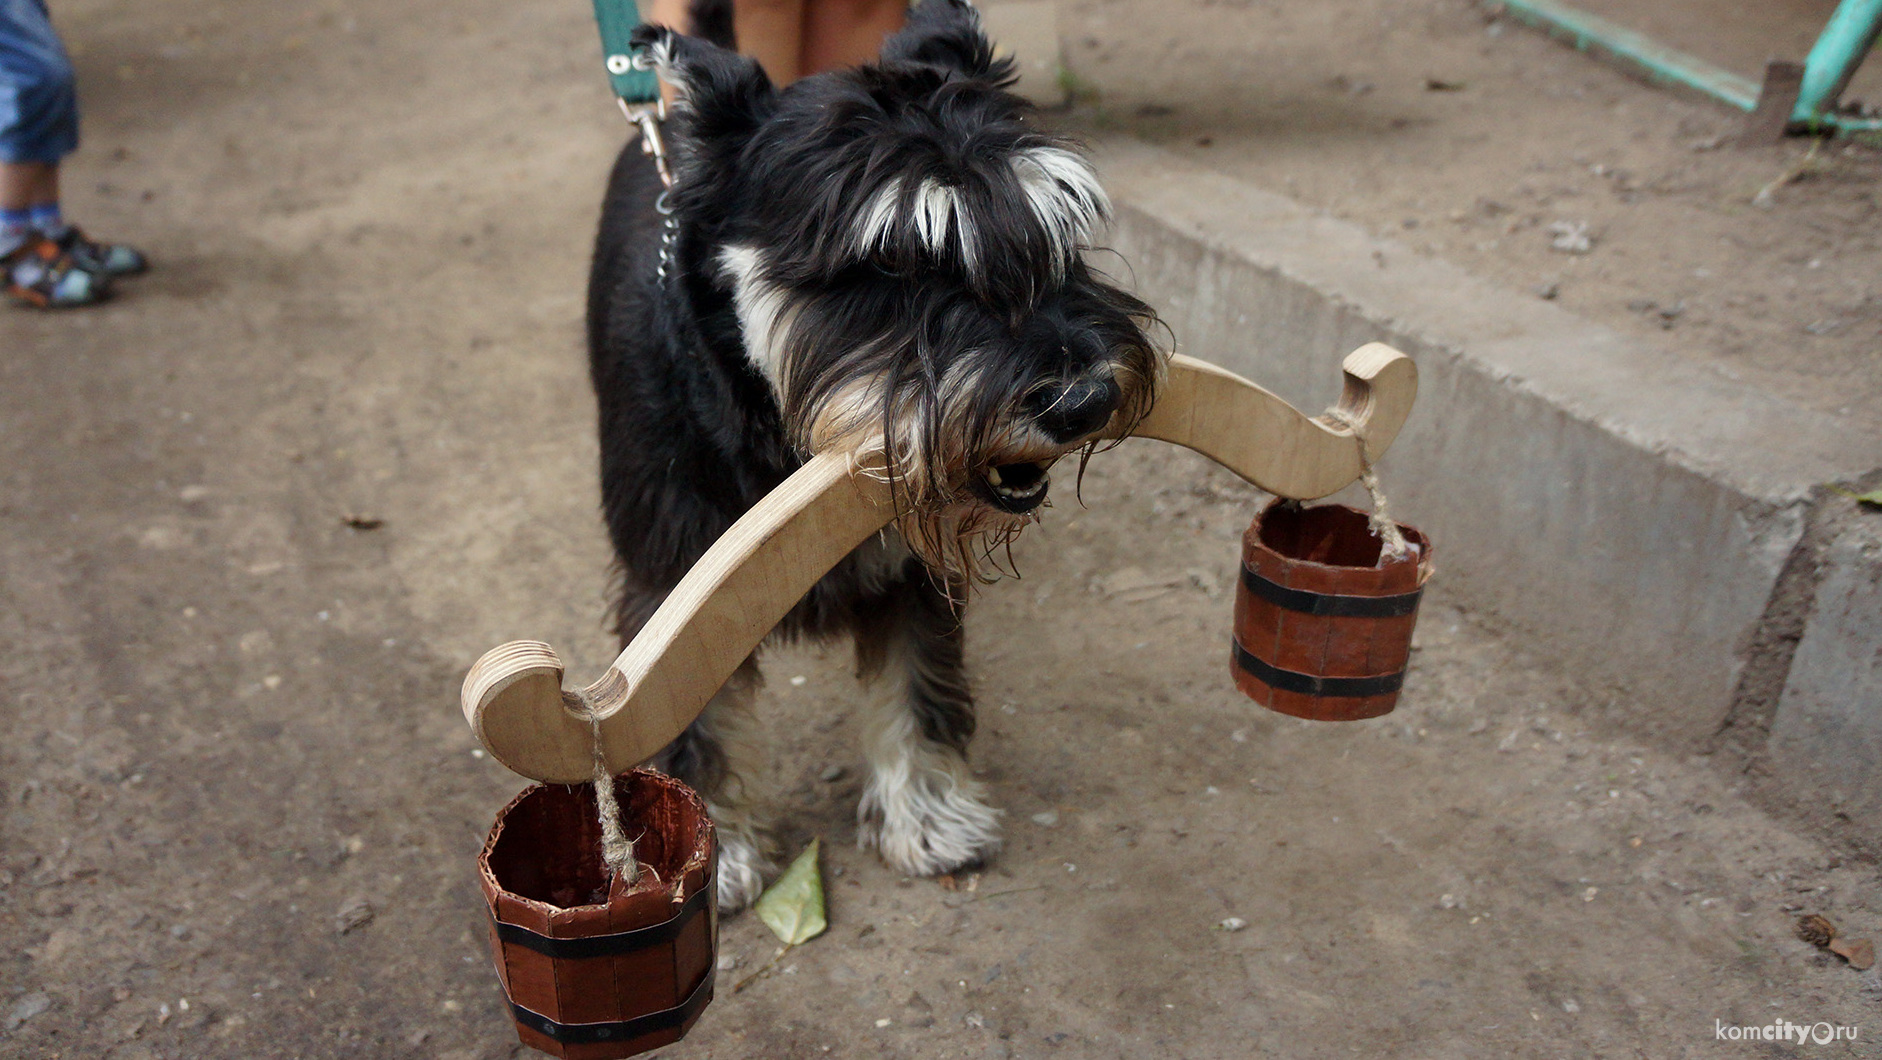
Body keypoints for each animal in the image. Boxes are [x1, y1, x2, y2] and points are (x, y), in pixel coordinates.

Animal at [587, 0, 1159, 911]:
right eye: (890, 264)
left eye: (1060, 229)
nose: (1083, 401)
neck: (776, 428)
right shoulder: (667, 586)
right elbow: (697, 723)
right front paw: (711, 854)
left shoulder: (911, 572)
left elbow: (916, 688)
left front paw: (928, 817)